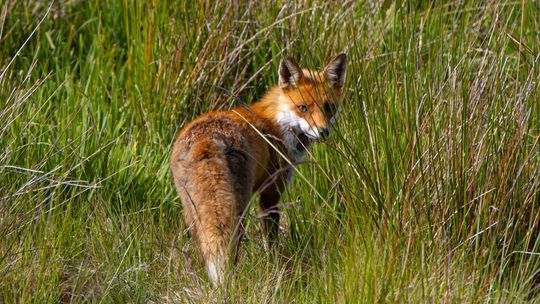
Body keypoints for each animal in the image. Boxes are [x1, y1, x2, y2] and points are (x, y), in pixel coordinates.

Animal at [171, 53, 348, 286]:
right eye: (303, 108)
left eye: (329, 107)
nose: (323, 131)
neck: (278, 124)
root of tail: (206, 142)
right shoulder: (271, 192)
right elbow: (270, 241)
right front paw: (275, 265)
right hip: (238, 208)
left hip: (192, 209)